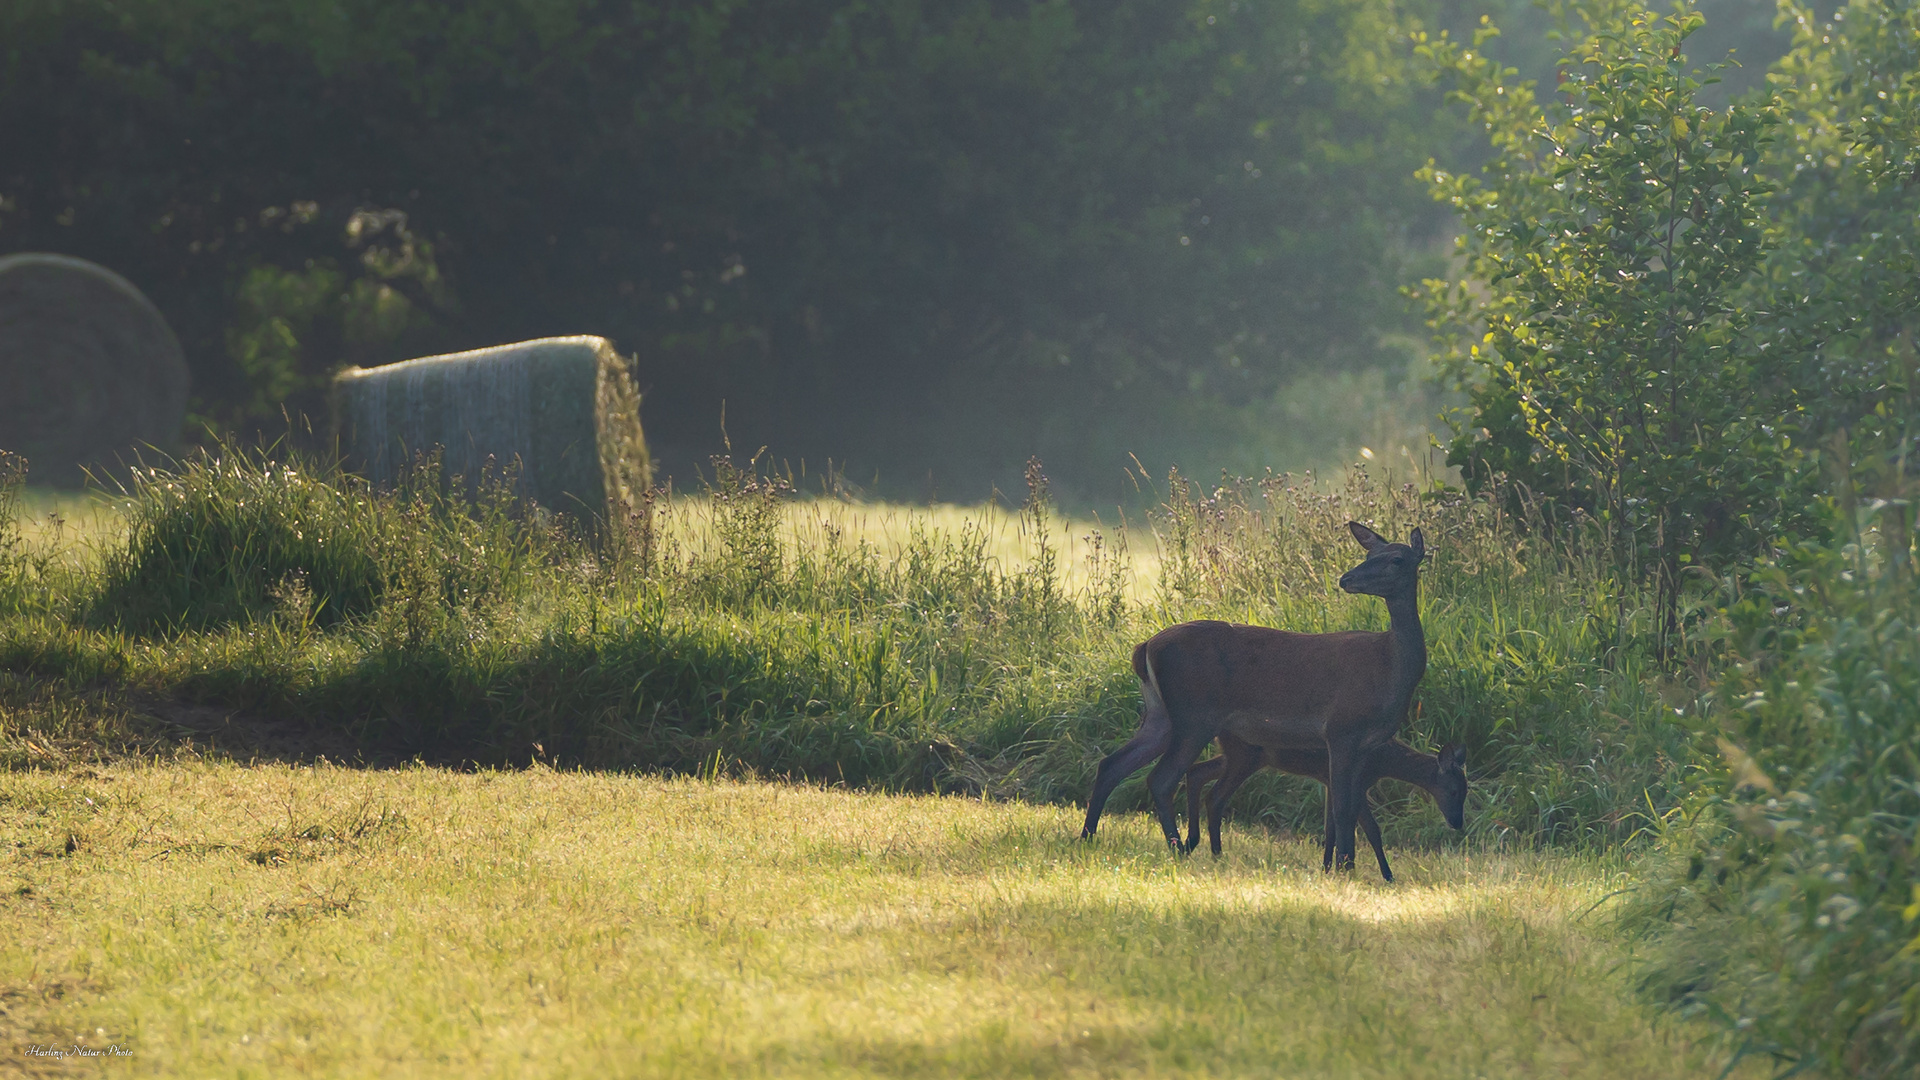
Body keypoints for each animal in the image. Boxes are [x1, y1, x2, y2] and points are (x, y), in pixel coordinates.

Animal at [1082, 522, 1428, 864]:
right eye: (1369, 554)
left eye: (1396, 558)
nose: (1346, 579)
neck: (1390, 668)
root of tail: (1144, 647)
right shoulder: (1341, 729)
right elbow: (1343, 810)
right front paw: (1345, 867)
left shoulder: (1365, 745)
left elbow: (1350, 810)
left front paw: (1346, 865)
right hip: (1194, 714)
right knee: (1161, 778)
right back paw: (1177, 848)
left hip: (1160, 714)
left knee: (1112, 764)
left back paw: (1087, 836)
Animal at [1175, 730, 1459, 876]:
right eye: (1455, 788)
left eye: (1464, 788)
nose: (1457, 822)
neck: (1382, 761)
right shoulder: (1356, 783)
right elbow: (1372, 830)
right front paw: (1387, 876)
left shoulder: (1331, 781)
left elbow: (1330, 827)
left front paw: (1326, 868)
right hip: (1245, 756)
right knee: (1214, 796)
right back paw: (1212, 852)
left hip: (1244, 756)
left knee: (1197, 772)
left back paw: (1191, 844)